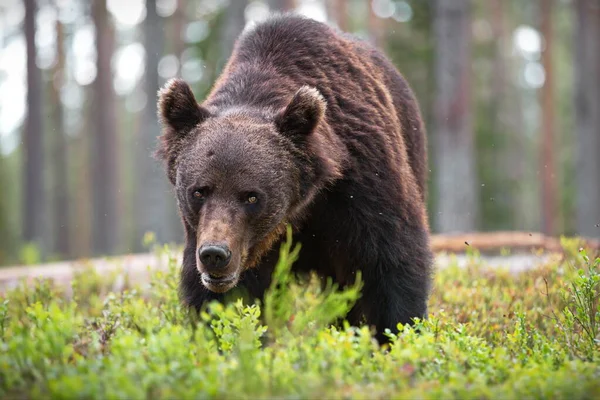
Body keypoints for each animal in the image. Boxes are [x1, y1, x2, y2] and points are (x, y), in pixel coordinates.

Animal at [156, 14, 432, 342]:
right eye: (199, 191)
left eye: (251, 196)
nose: (215, 254)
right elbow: (217, 301)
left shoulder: (362, 182)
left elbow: (390, 264)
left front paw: (395, 336)